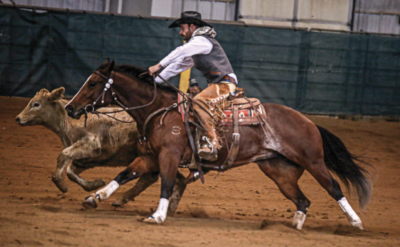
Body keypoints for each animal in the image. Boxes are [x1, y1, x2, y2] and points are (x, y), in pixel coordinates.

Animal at [65, 59, 372, 230]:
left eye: (92, 83)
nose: (70, 108)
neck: (160, 110)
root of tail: (309, 122)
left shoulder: (169, 156)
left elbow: (166, 183)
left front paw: (158, 216)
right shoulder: (150, 157)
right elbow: (124, 174)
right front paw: (95, 197)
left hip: (314, 162)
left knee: (333, 188)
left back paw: (356, 223)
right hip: (279, 171)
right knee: (302, 200)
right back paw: (292, 227)